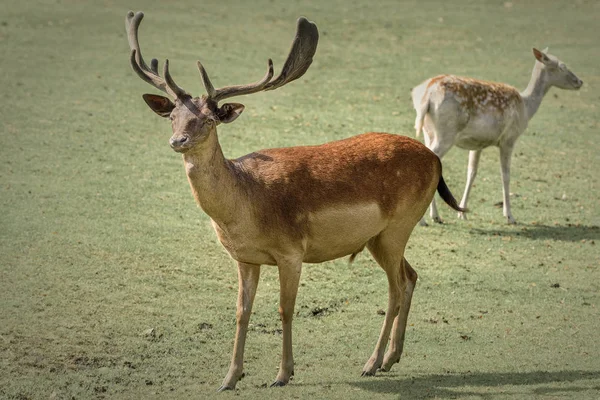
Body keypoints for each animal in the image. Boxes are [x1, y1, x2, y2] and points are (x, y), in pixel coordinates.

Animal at [125, 10, 464, 390]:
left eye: (210, 119)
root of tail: (435, 160)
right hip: (379, 238)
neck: (244, 206)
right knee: (412, 276)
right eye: (172, 117)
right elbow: (242, 312)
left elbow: (285, 309)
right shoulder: (245, 258)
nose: (178, 140)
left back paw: (371, 363)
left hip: (398, 227)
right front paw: (230, 377)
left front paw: (283, 374)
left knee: (396, 287)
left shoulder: (290, 251)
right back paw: (392, 358)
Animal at [410, 47, 584, 225]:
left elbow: (472, 172)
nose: (580, 81)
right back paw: (423, 219)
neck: (526, 108)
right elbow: (505, 175)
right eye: (562, 66)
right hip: (446, 132)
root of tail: (426, 94)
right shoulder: (509, 138)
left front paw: (462, 213)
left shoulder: (477, 143)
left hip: (428, 131)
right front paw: (509, 216)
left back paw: (435, 216)